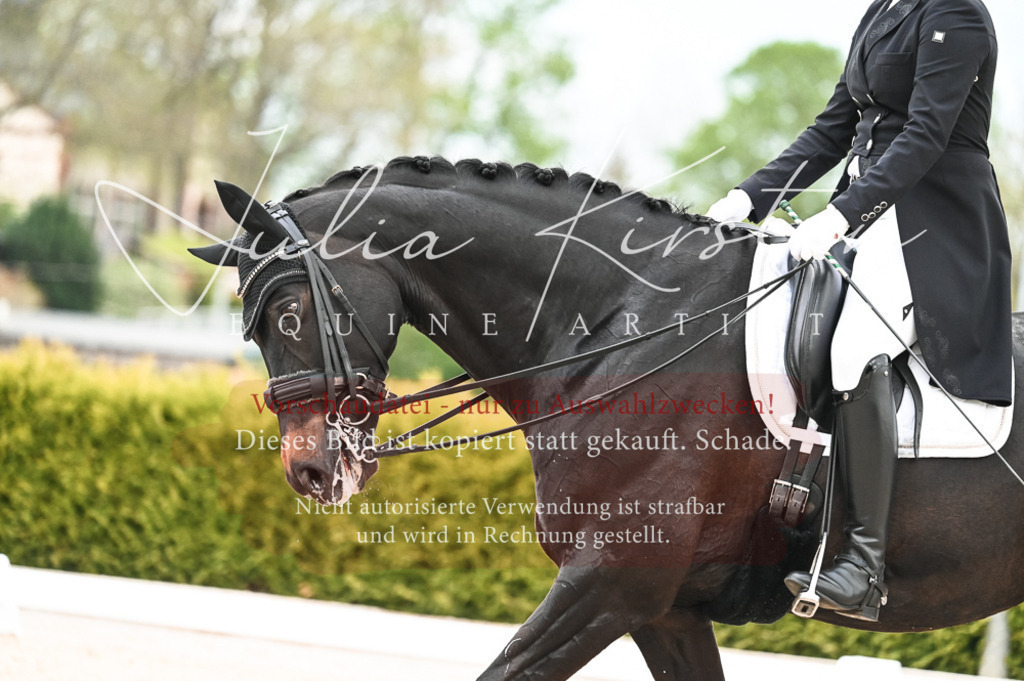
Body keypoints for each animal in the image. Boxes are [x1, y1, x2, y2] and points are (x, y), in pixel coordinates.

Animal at [190, 156, 1024, 680]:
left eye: (289, 310)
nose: (309, 470)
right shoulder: (665, 608)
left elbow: (504, 670)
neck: (622, 327)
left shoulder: (611, 580)